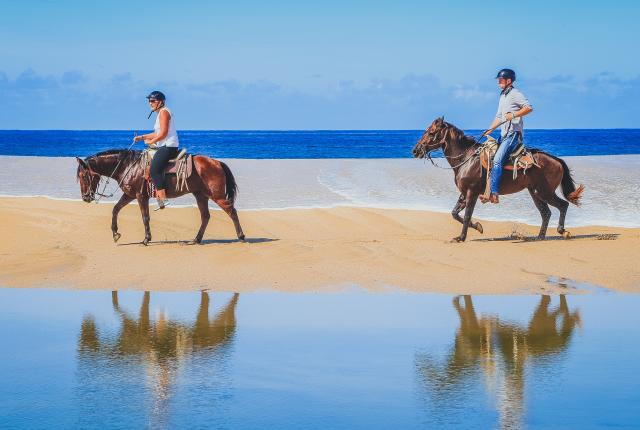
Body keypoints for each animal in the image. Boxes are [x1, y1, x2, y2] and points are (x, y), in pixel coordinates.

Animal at [75, 149, 245, 245]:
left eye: (83, 176)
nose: (85, 198)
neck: (128, 165)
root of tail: (217, 162)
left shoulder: (140, 196)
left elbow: (145, 217)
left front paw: (146, 239)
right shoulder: (129, 195)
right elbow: (115, 209)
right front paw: (115, 233)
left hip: (216, 195)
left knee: (232, 211)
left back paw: (241, 236)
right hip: (200, 195)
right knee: (205, 216)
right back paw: (196, 240)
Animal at [412, 116, 584, 242]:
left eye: (431, 133)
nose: (415, 150)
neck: (466, 158)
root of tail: (556, 160)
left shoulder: (472, 192)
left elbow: (467, 215)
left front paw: (461, 237)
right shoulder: (464, 193)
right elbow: (455, 213)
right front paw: (478, 227)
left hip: (544, 192)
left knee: (562, 205)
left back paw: (563, 231)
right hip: (535, 192)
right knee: (546, 213)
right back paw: (540, 237)